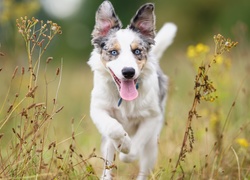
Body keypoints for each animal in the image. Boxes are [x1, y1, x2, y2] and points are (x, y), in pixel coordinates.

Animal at [87, 1, 177, 179]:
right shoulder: (98, 109)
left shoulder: (152, 117)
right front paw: (123, 142)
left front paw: (126, 150)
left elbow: (133, 151)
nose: (128, 72)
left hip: (152, 146)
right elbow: (113, 128)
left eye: (137, 51)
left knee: (144, 166)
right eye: (113, 52)